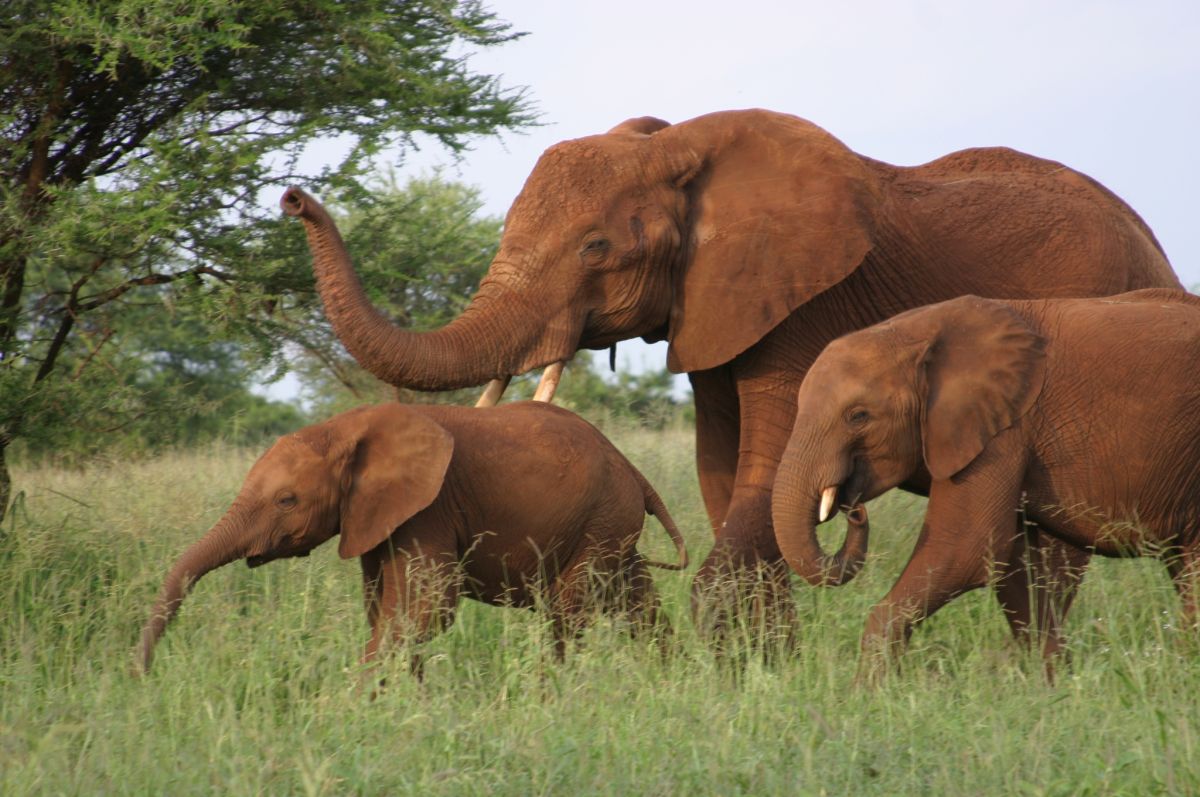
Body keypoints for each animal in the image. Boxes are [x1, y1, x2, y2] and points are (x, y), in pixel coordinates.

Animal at [135, 401, 688, 675]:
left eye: (286, 501)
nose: (141, 675)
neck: (345, 428)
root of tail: (635, 471)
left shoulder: (430, 506)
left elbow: (427, 608)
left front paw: (348, 710)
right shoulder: (375, 518)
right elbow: (387, 609)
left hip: (601, 519)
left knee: (565, 615)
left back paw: (551, 694)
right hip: (610, 525)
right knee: (634, 600)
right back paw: (672, 679)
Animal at [280, 107, 1178, 647]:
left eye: (597, 250)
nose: (293, 196)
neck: (681, 146)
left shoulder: (806, 305)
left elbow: (766, 467)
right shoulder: (713, 312)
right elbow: (723, 462)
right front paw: (763, 668)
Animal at [771, 289, 1200, 678]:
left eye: (858, 416)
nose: (853, 509)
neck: (918, 331)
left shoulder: (1001, 431)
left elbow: (965, 549)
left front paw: (870, 694)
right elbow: (1016, 569)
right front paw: (1052, 685)